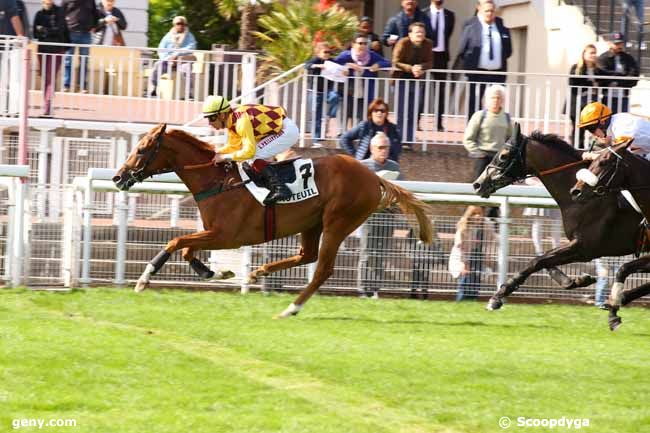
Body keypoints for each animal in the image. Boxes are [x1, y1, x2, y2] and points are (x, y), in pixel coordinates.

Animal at [113, 124, 432, 318]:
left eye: (142, 149)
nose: (118, 177)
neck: (217, 181)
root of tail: (373, 176)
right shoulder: (214, 232)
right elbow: (187, 250)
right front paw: (219, 273)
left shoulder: (227, 235)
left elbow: (176, 241)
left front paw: (143, 279)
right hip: (313, 223)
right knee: (307, 255)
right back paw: (260, 272)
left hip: (338, 221)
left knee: (322, 269)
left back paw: (291, 308)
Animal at [470, 123, 644, 312]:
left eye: (503, 155)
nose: (477, 184)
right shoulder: (580, 247)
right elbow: (543, 258)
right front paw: (575, 281)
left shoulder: (585, 247)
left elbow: (536, 261)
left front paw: (498, 296)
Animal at [568, 140, 648, 330]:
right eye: (592, 160)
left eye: (604, 162)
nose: (576, 191)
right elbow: (624, 269)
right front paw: (614, 307)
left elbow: (623, 269)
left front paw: (613, 309)